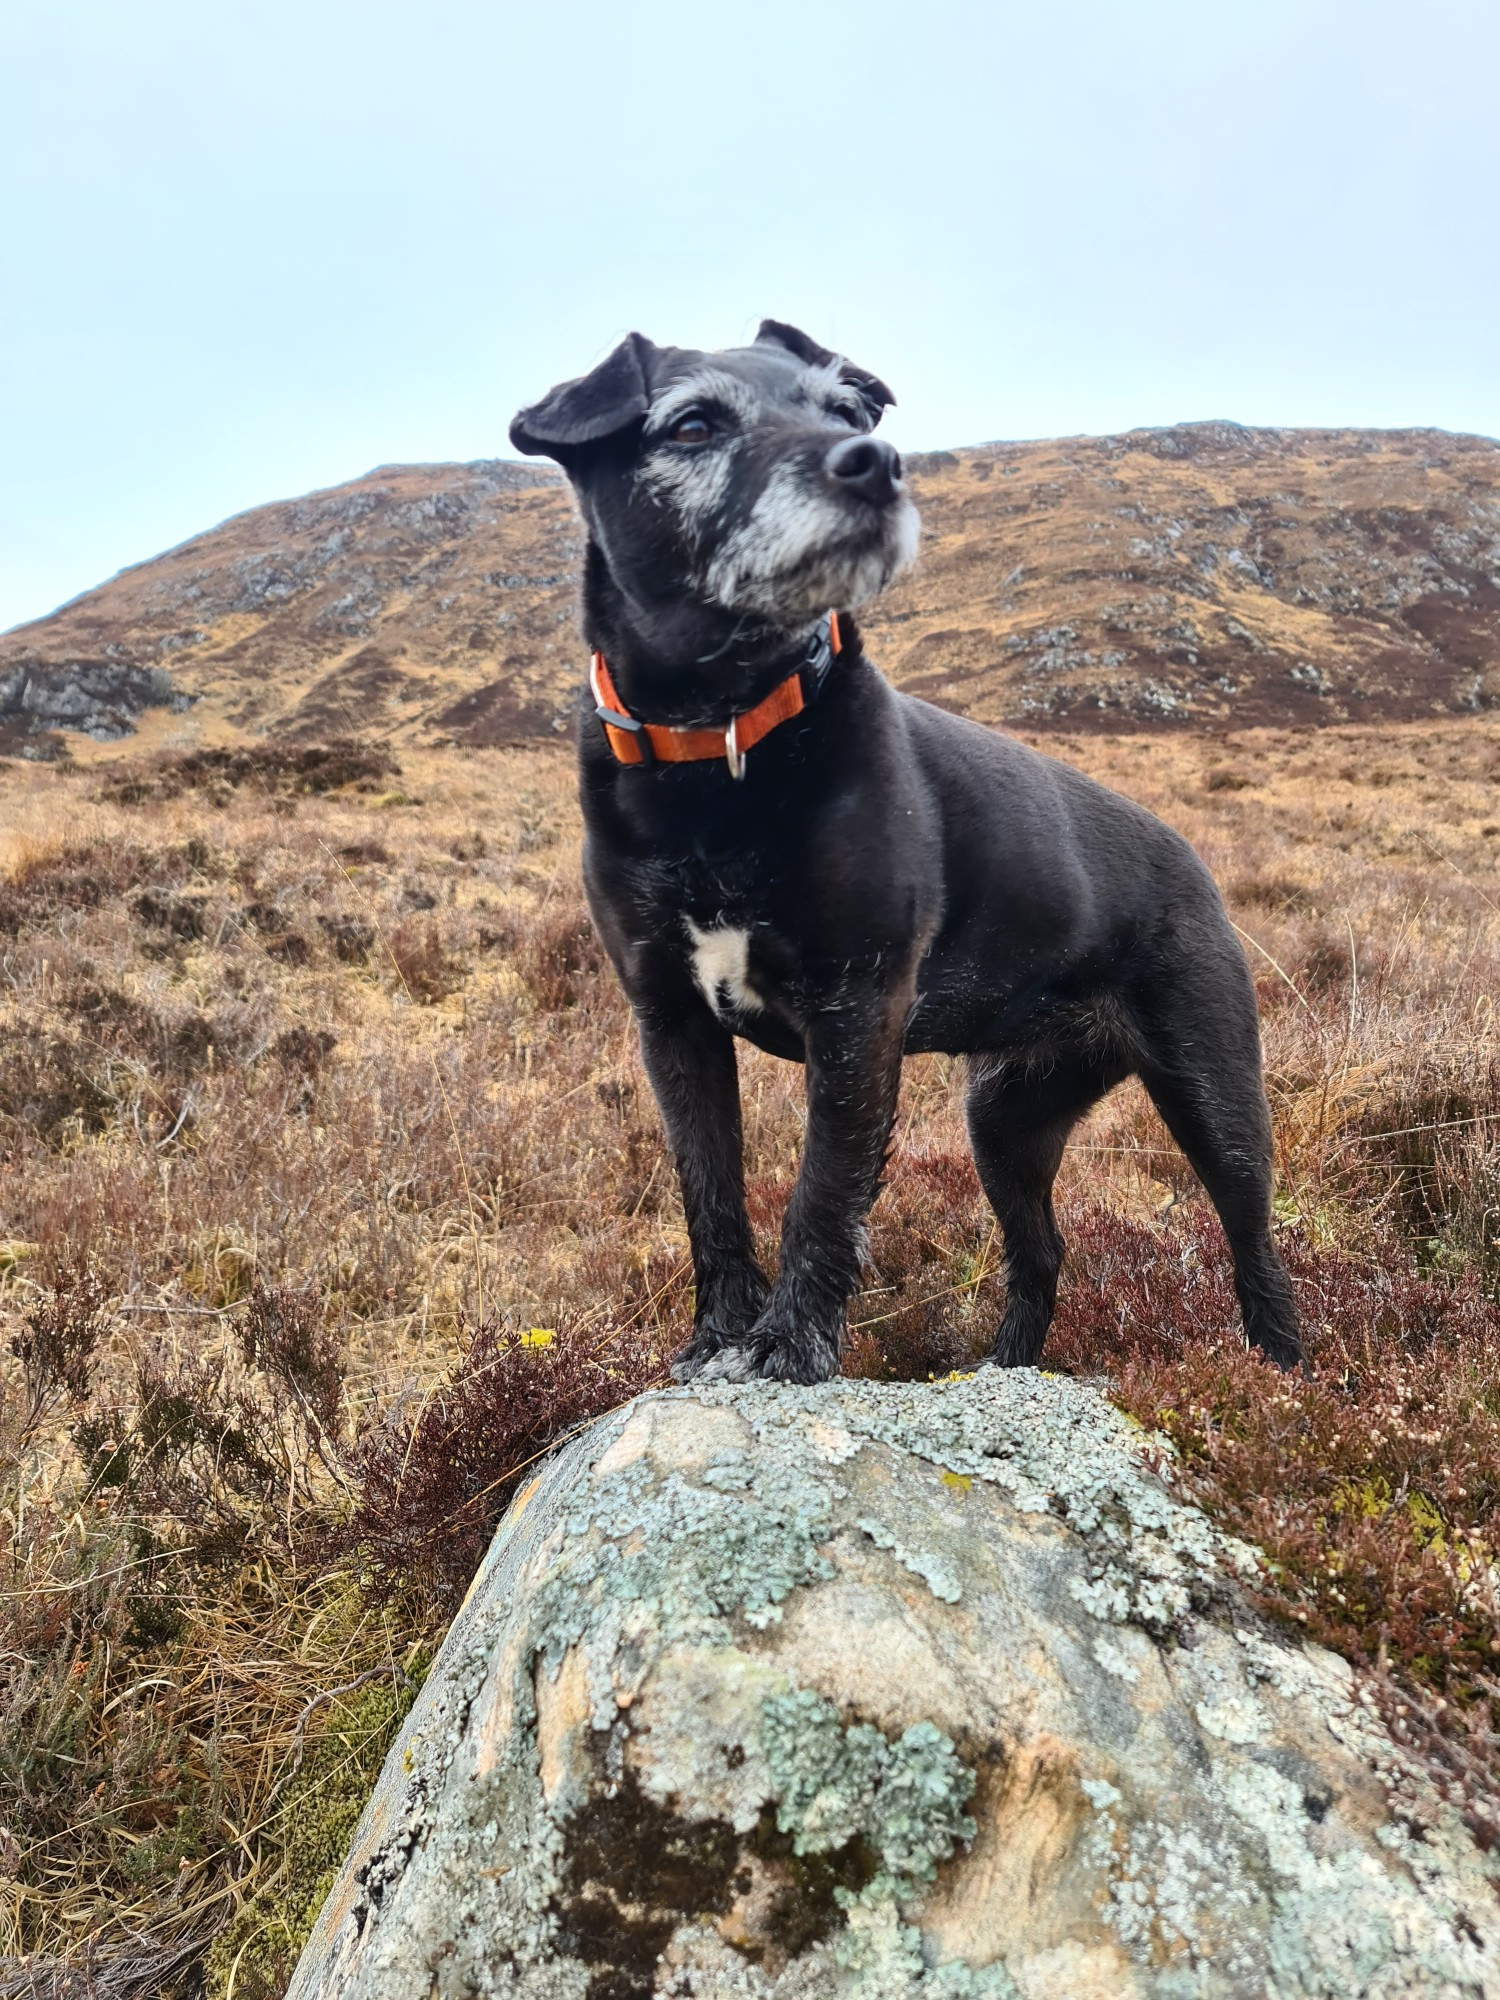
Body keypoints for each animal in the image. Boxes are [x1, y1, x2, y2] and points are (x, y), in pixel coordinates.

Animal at [508, 320, 1304, 1384]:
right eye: (691, 424)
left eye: (847, 410)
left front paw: (787, 1348)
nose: (876, 463)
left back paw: (1285, 1377)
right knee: (1041, 1250)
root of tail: (1196, 863)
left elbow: (821, 1196)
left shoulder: (855, 1013)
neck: (721, 748)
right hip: (1006, 1120)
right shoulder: (672, 1022)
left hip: (1212, 1094)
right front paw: (717, 1338)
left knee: (1255, 1239)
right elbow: (709, 1194)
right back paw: (1004, 1370)